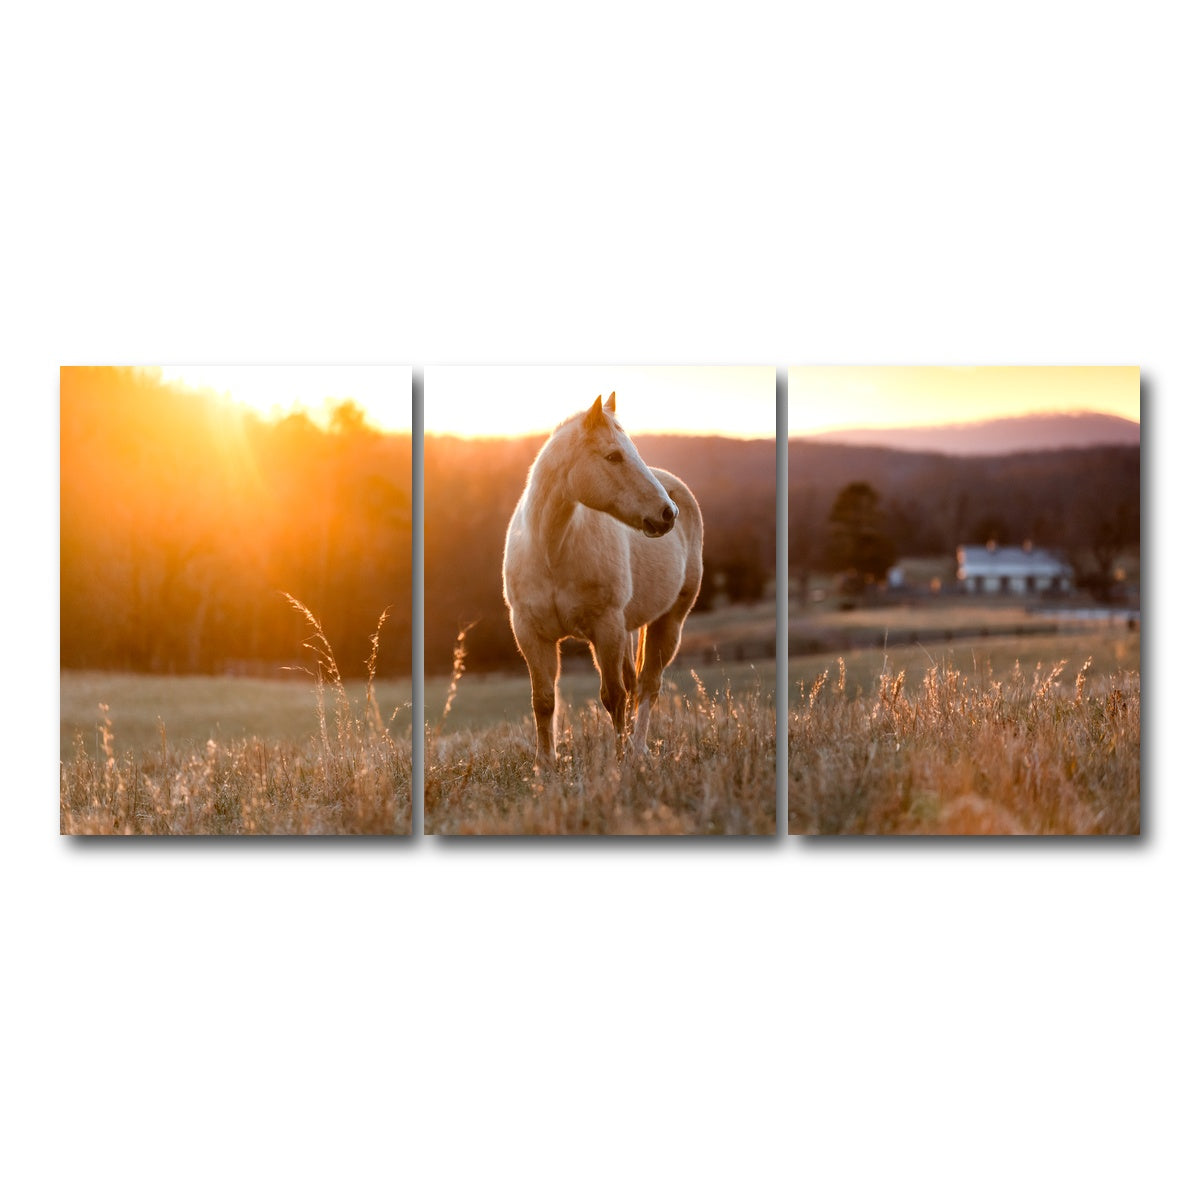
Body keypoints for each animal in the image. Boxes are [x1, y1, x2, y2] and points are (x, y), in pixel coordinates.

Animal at [502, 392, 703, 771]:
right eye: (613, 456)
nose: (667, 513)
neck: (552, 549)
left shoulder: (605, 628)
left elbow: (613, 696)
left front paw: (619, 760)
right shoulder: (530, 632)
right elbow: (544, 699)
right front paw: (544, 765)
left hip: (668, 623)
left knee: (648, 685)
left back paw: (638, 749)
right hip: (628, 629)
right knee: (636, 682)